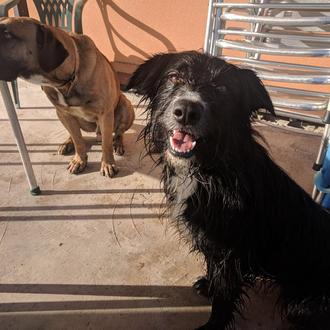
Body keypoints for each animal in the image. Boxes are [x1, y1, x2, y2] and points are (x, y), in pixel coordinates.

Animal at [0, 17, 134, 178]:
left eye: (7, 34)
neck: (66, 81)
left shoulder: (105, 114)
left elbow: (106, 144)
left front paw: (107, 163)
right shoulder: (65, 114)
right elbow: (78, 140)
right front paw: (79, 160)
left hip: (125, 107)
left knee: (118, 133)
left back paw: (118, 143)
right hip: (60, 115)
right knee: (75, 134)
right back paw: (67, 143)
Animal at [127, 51, 330, 330]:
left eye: (222, 88)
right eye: (174, 77)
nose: (187, 111)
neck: (209, 169)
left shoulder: (231, 252)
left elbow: (224, 296)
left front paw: (212, 325)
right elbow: (214, 273)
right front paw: (208, 286)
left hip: (299, 306)